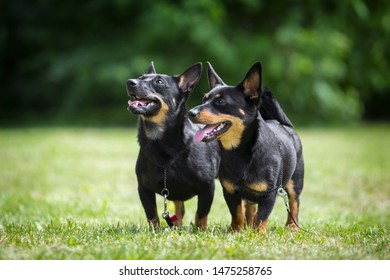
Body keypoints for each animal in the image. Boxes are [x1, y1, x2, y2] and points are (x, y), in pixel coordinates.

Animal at [127, 62, 221, 229]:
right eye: (140, 77)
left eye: (159, 82)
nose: (130, 82)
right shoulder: (144, 189)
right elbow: (152, 216)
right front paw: (155, 231)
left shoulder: (207, 187)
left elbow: (201, 215)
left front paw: (200, 231)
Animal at [189, 62, 304, 233]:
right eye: (204, 99)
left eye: (221, 102)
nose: (191, 112)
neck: (240, 153)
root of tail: (280, 123)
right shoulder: (231, 192)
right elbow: (237, 214)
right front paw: (235, 231)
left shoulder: (269, 195)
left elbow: (261, 218)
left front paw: (258, 234)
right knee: (250, 208)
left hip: (295, 182)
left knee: (294, 203)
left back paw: (292, 226)